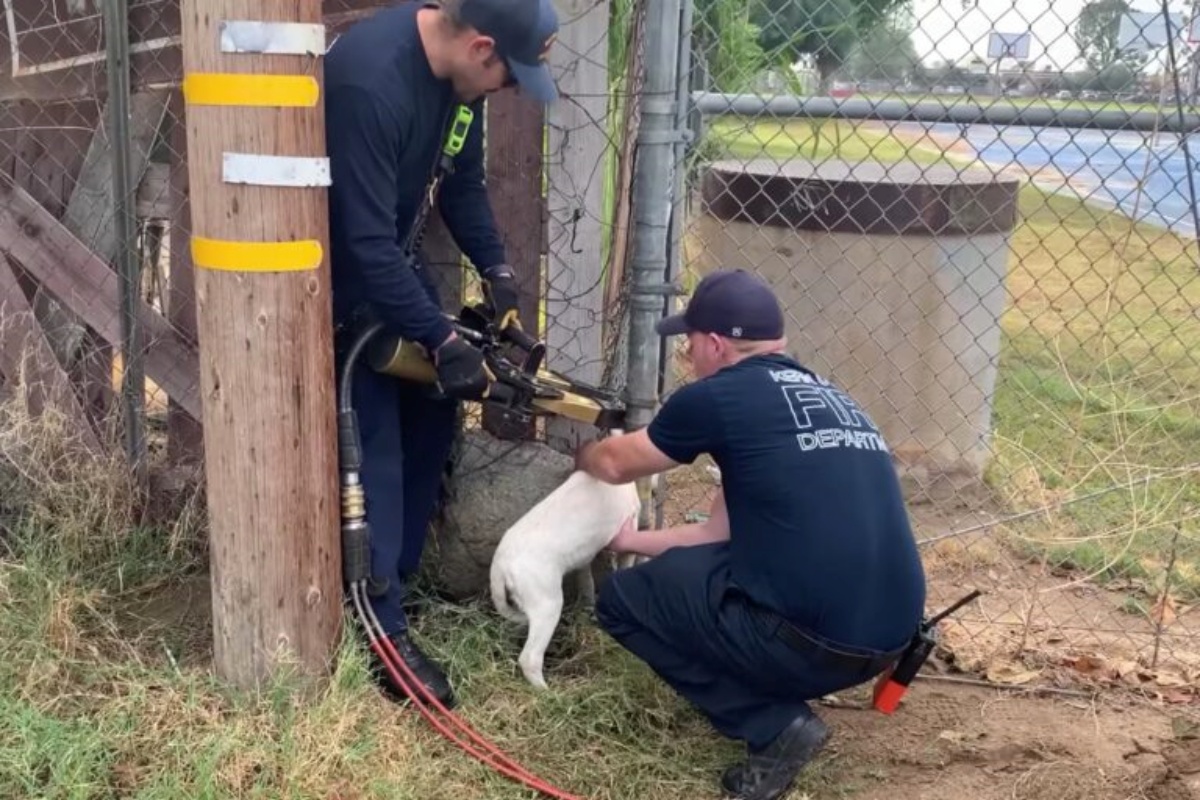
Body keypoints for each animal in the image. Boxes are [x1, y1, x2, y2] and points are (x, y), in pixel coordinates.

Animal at [487, 470, 643, 690]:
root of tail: (500, 562)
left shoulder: (584, 558)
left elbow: (587, 582)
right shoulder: (630, 528)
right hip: (547, 605)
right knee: (529, 658)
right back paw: (548, 692)